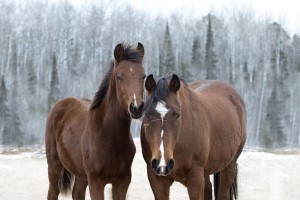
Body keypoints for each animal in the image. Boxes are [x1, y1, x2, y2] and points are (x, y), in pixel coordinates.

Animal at [44, 42, 146, 200]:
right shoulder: (95, 181)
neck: (109, 136)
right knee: (53, 192)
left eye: (143, 76)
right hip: (54, 166)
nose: (136, 107)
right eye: (119, 76)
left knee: (77, 193)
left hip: (80, 174)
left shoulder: (123, 181)